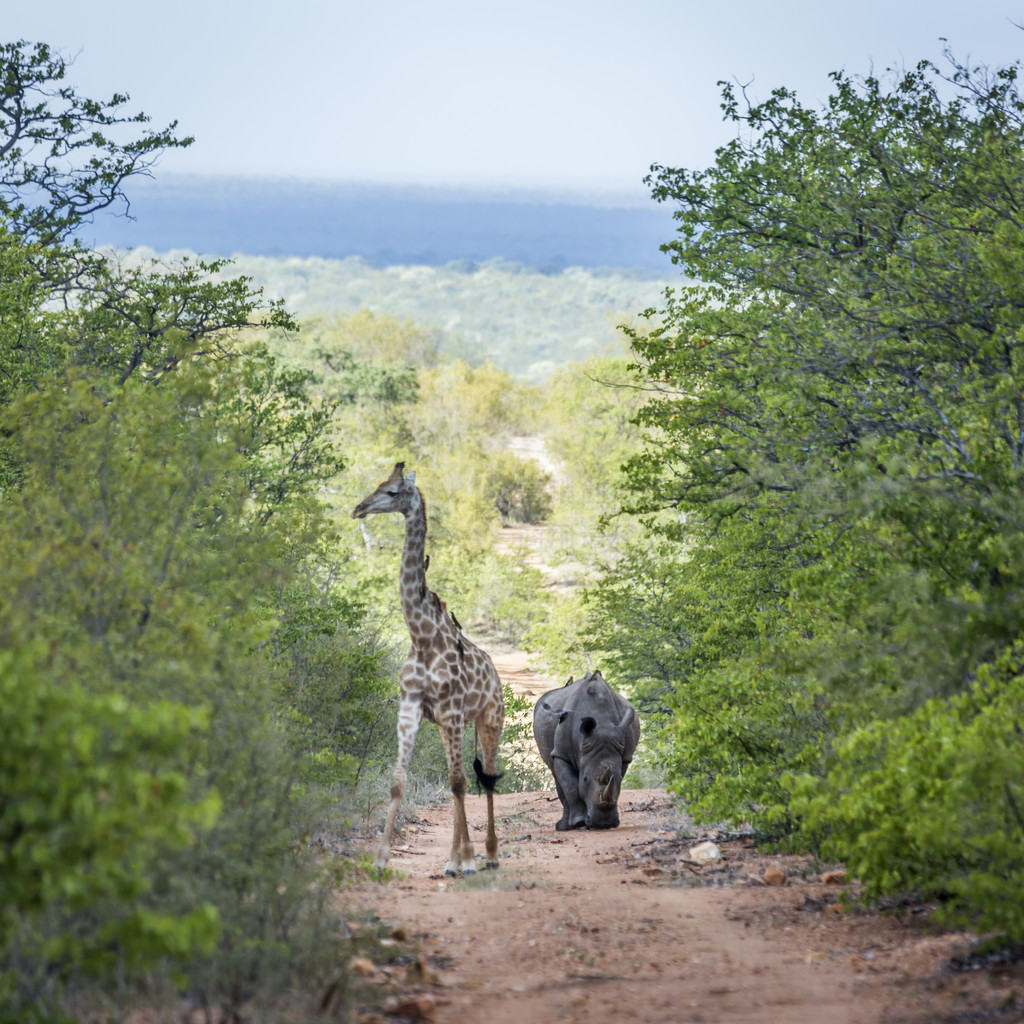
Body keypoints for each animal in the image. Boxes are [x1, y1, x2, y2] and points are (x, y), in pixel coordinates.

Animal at [354, 462, 505, 872]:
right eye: (378, 484)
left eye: (392, 492)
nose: (359, 508)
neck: (421, 637)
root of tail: (497, 676)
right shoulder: (411, 707)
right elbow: (399, 780)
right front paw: (381, 859)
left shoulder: (452, 709)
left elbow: (459, 782)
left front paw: (468, 858)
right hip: (450, 723)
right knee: (464, 778)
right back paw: (454, 860)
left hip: (490, 719)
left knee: (486, 778)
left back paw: (488, 855)